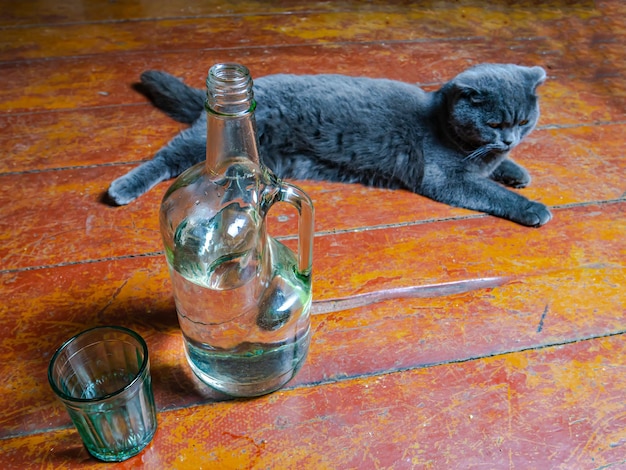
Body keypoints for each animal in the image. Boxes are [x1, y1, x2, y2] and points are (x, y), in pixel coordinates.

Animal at [108, 63, 552, 227]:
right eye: (494, 123)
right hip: (208, 142)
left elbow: (497, 169)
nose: (510, 138)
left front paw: (517, 170)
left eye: (523, 122)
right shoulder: (446, 178)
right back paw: (121, 188)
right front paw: (533, 207)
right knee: (167, 157)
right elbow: (490, 191)